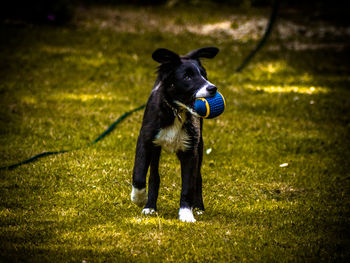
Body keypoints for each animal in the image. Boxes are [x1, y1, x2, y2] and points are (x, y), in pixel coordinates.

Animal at [131, 47, 219, 223]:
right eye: (187, 77)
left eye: (204, 75)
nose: (213, 88)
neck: (176, 111)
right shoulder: (145, 140)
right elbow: (139, 174)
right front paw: (139, 198)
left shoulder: (190, 150)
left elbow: (188, 185)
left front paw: (186, 214)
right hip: (156, 150)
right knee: (153, 176)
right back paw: (150, 206)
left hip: (200, 146)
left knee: (197, 178)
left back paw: (199, 208)